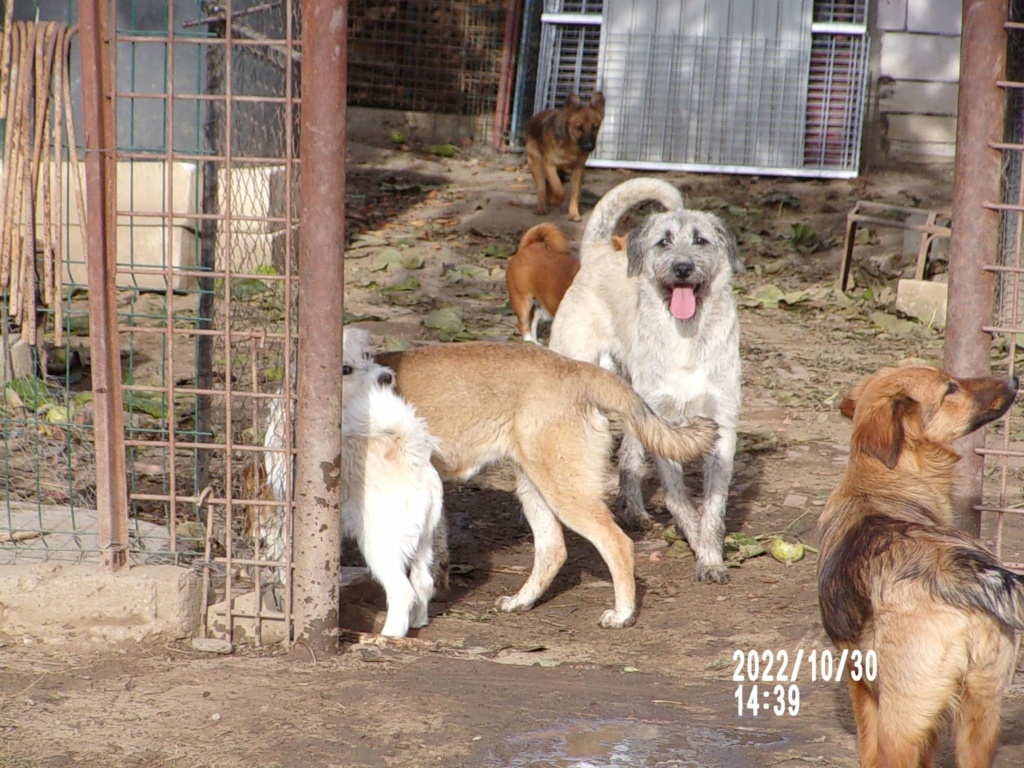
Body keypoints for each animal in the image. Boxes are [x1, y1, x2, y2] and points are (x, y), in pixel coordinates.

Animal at [378, 344, 720, 630]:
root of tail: (577, 368)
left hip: (563, 492)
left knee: (618, 544)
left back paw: (622, 615)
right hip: (534, 488)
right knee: (552, 549)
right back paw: (522, 601)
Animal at [524, 92, 602, 222]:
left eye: (594, 127)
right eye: (579, 127)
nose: (589, 147)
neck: (570, 145)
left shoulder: (578, 169)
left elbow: (574, 194)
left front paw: (574, 214)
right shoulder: (549, 165)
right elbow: (559, 189)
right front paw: (556, 201)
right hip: (536, 164)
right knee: (541, 188)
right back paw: (542, 207)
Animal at [815, 366, 1024, 768]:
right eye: (951, 388)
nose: (1014, 379)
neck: (878, 479)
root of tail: (959, 571)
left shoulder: (858, 677)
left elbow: (867, 749)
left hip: (902, 718)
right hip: (980, 714)